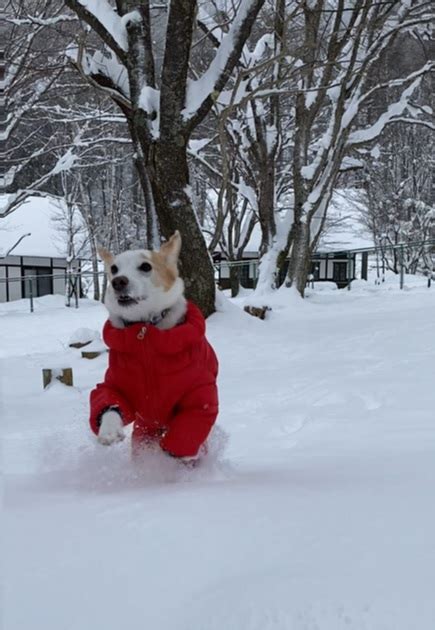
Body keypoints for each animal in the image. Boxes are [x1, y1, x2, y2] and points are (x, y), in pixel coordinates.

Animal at [92, 235, 221, 462]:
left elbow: (195, 414)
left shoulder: (199, 390)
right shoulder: (114, 386)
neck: (144, 330)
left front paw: (178, 450)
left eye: (146, 266)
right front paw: (108, 431)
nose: (118, 281)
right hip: (143, 431)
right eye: (114, 269)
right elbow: (109, 401)